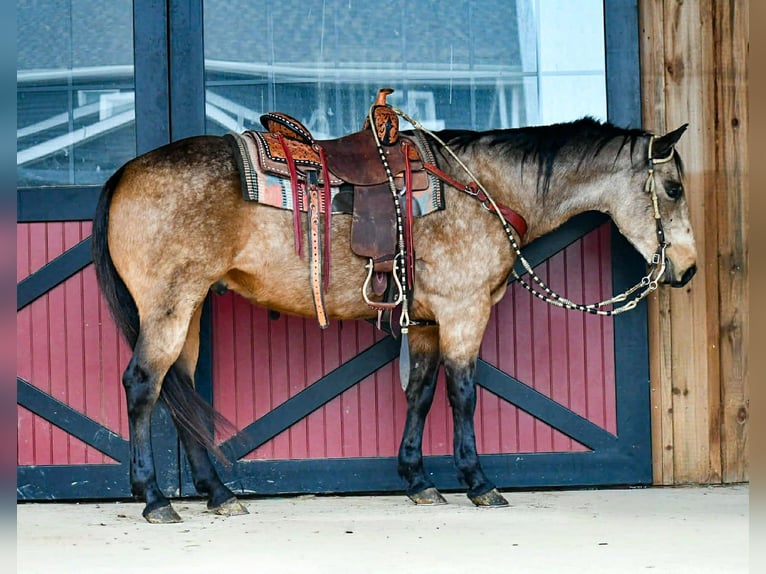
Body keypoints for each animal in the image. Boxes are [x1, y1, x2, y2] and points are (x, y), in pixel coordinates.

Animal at [91, 110, 697, 523]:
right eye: (672, 188)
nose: (687, 269)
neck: (482, 189)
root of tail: (125, 172)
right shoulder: (463, 312)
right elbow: (462, 394)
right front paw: (478, 482)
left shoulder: (427, 322)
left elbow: (421, 393)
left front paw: (418, 479)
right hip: (168, 307)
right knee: (143, 384)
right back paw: (154, 499)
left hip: (189, 308)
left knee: (179, 389)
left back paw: (217, 494)